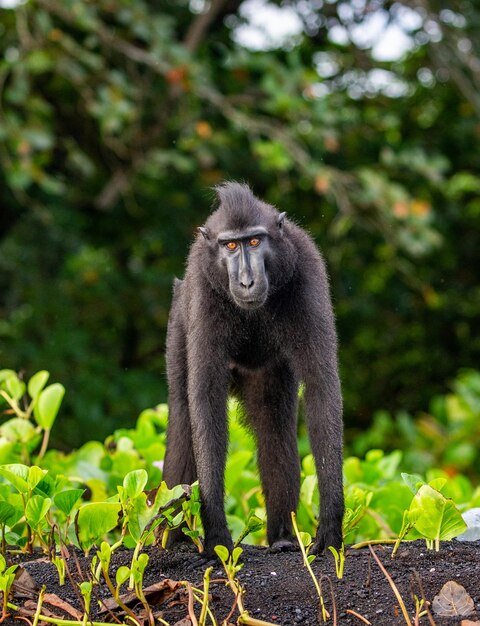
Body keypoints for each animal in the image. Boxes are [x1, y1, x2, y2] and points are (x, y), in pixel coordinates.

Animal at [163, 183, 344, 552]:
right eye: (231, 245)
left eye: (255, 241)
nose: (247, 281)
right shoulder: (202, 287)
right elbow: (205, 399)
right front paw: (216, 531)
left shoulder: (307, 270)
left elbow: (320, 386)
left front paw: (331, 526)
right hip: (177, 325)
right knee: (183, 417)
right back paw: (173, 541)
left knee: (274, 424)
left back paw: (283, 537)